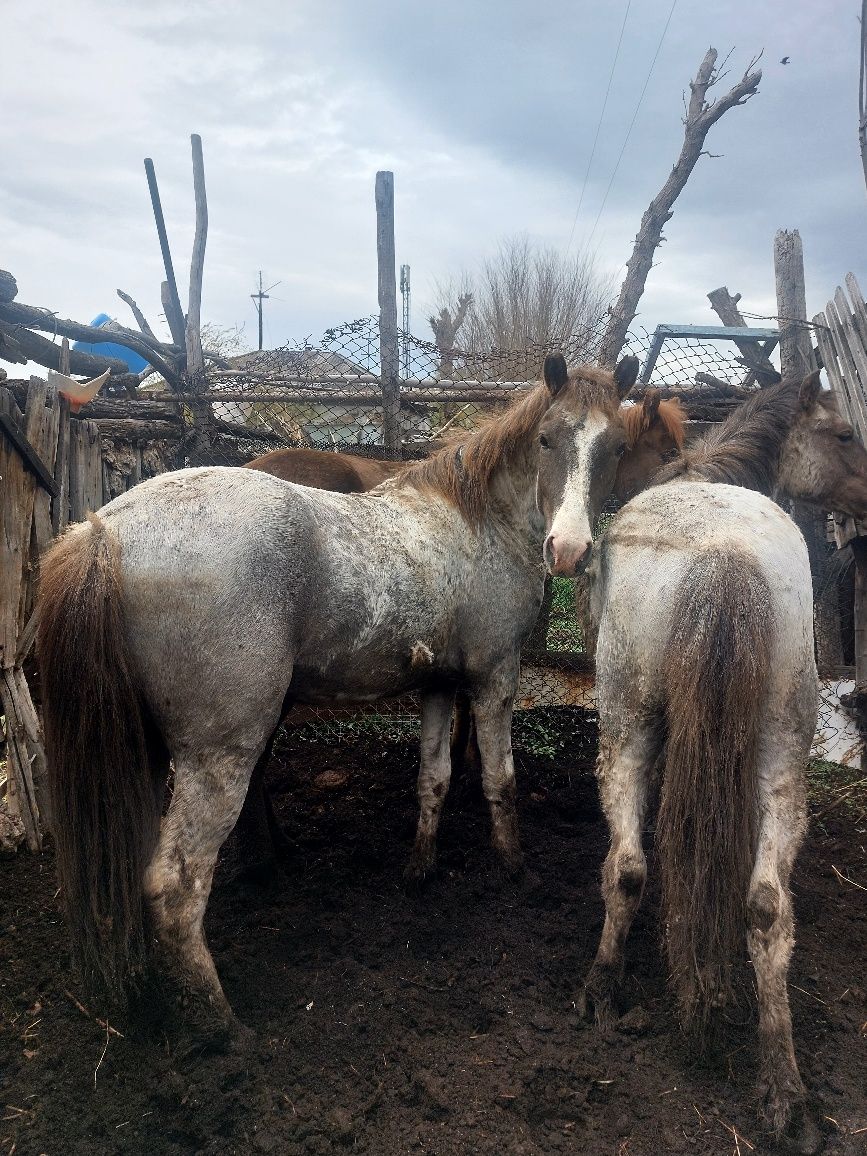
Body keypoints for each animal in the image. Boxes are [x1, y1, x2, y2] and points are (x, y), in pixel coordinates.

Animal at [37, 351, 642, 1040]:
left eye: (617, 446)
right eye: (547, 439)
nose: (569, 550)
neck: (473, 522)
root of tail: (103, 532)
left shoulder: (437, 684)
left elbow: (433, 779)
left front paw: (420, 869)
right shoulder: (494, 676)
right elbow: (500, 781)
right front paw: (515, 868)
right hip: (219, 755)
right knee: (174, 884)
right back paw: (220, 1023)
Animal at [580, 374, 867, 1151]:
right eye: (843, 435)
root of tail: (726, 559)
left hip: (624, 720)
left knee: (626, 866)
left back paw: (603, 989)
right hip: (781, 749)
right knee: (765, 907)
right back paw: (785, 1093)